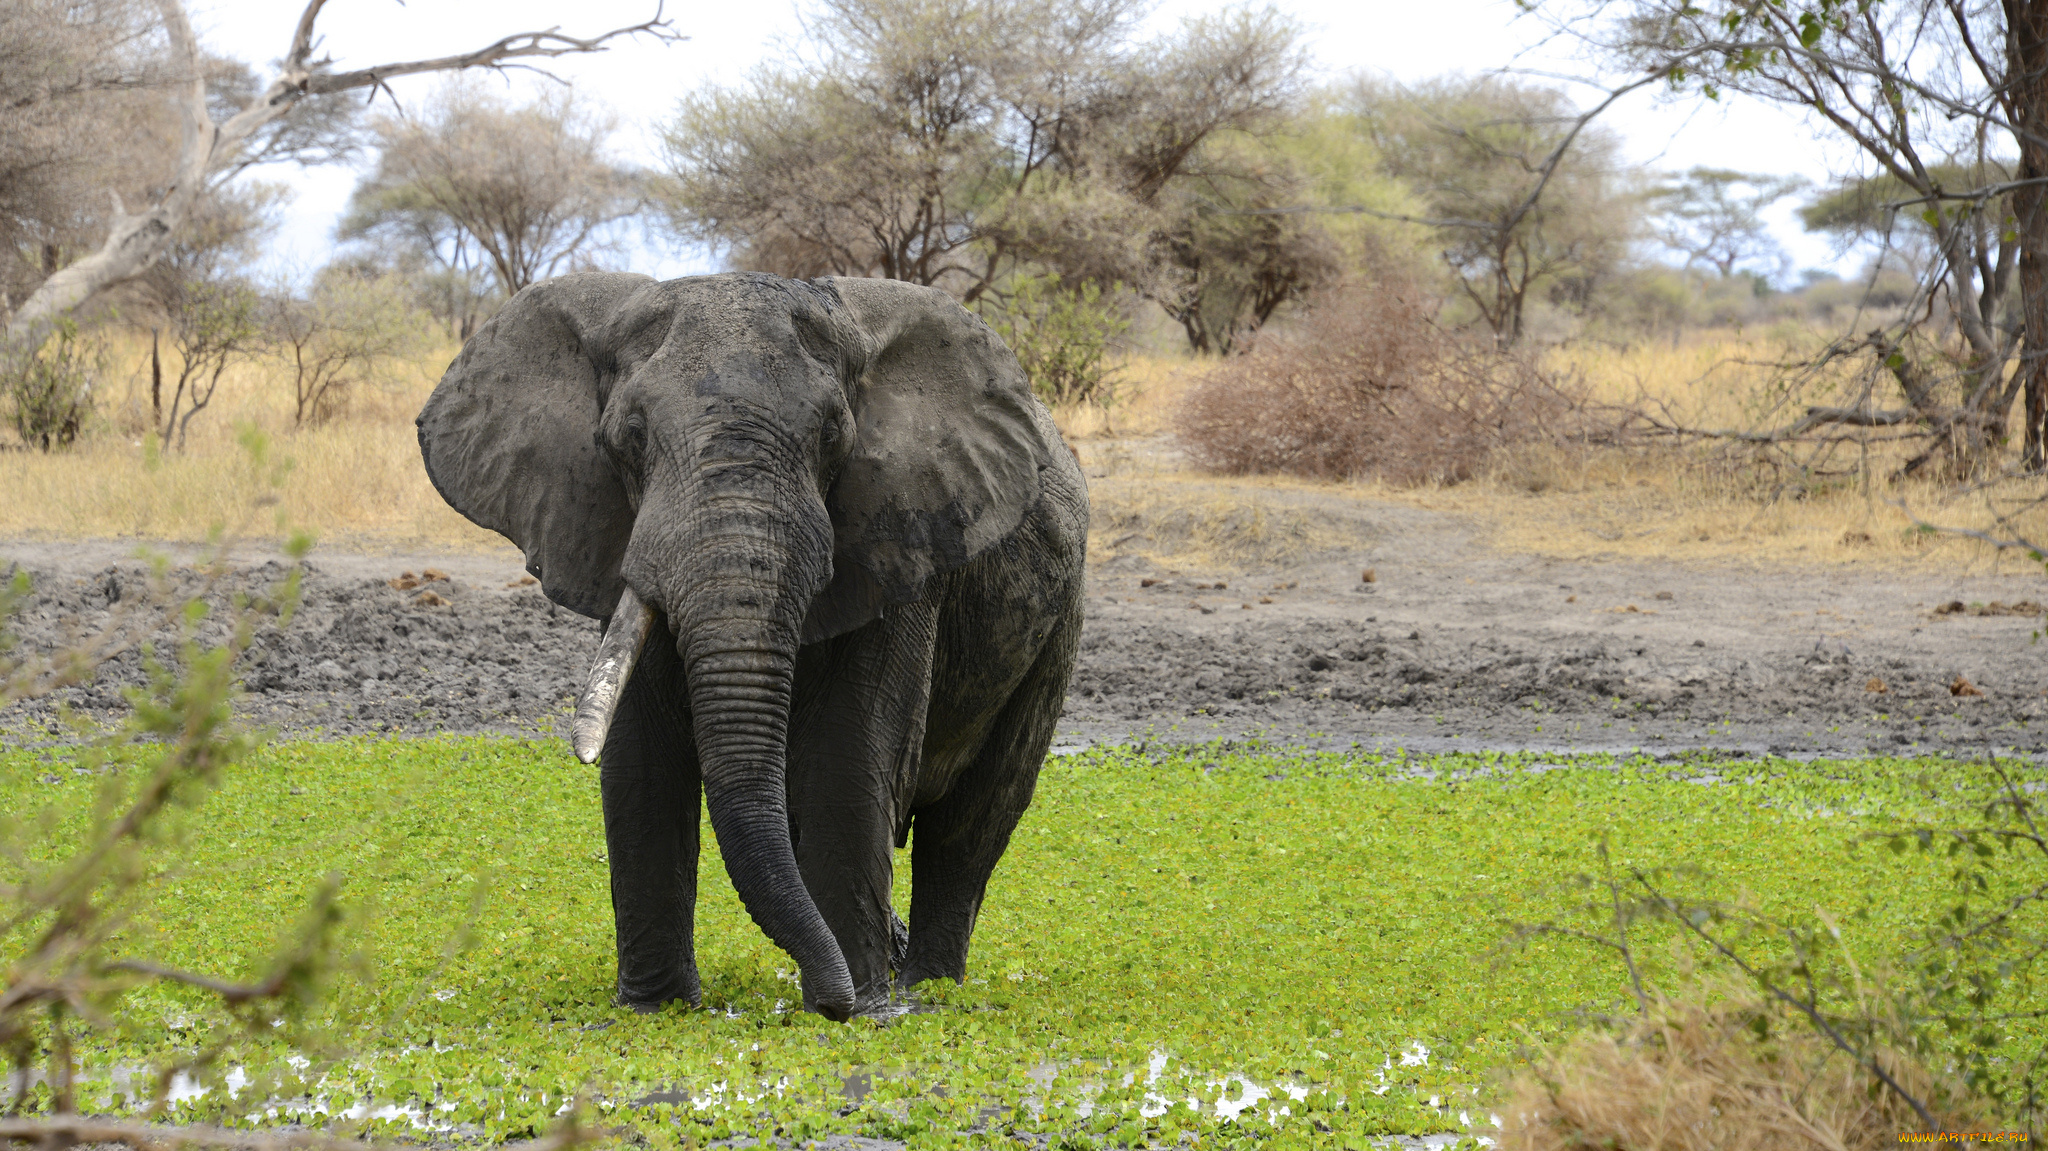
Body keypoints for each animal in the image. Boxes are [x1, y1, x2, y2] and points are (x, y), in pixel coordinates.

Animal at [413, 272, 1089, 1015]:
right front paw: (655, 1010)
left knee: (973, 821)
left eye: (831, 434)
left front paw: (862, 1011)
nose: (835, 999)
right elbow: (640, 753)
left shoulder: (902, 536)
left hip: (1059, 619)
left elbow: (849, 750)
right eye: (629, 436)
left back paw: (924, 989)